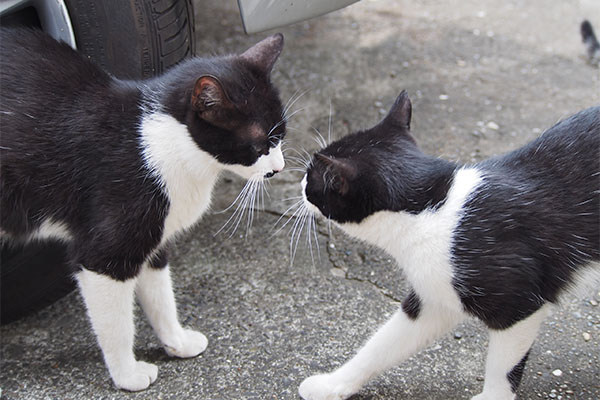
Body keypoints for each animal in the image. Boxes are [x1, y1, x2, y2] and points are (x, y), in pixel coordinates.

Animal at [0, 29, 286, 392]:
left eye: (282, 135)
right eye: (260, 144)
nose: (279, 168)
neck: (162, 145)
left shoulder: (154, 237)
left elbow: (160, 294)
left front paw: (177, 342)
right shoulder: (106, 253)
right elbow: (117, 324)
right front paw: (127, 374)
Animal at [298, 92, 596, 398]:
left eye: (312, 176)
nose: (300, 181)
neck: (433, 210)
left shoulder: (518, 305)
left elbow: (502, 367)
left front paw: (494, 396)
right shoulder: (434, 297)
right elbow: (382, 345)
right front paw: (332, 384)